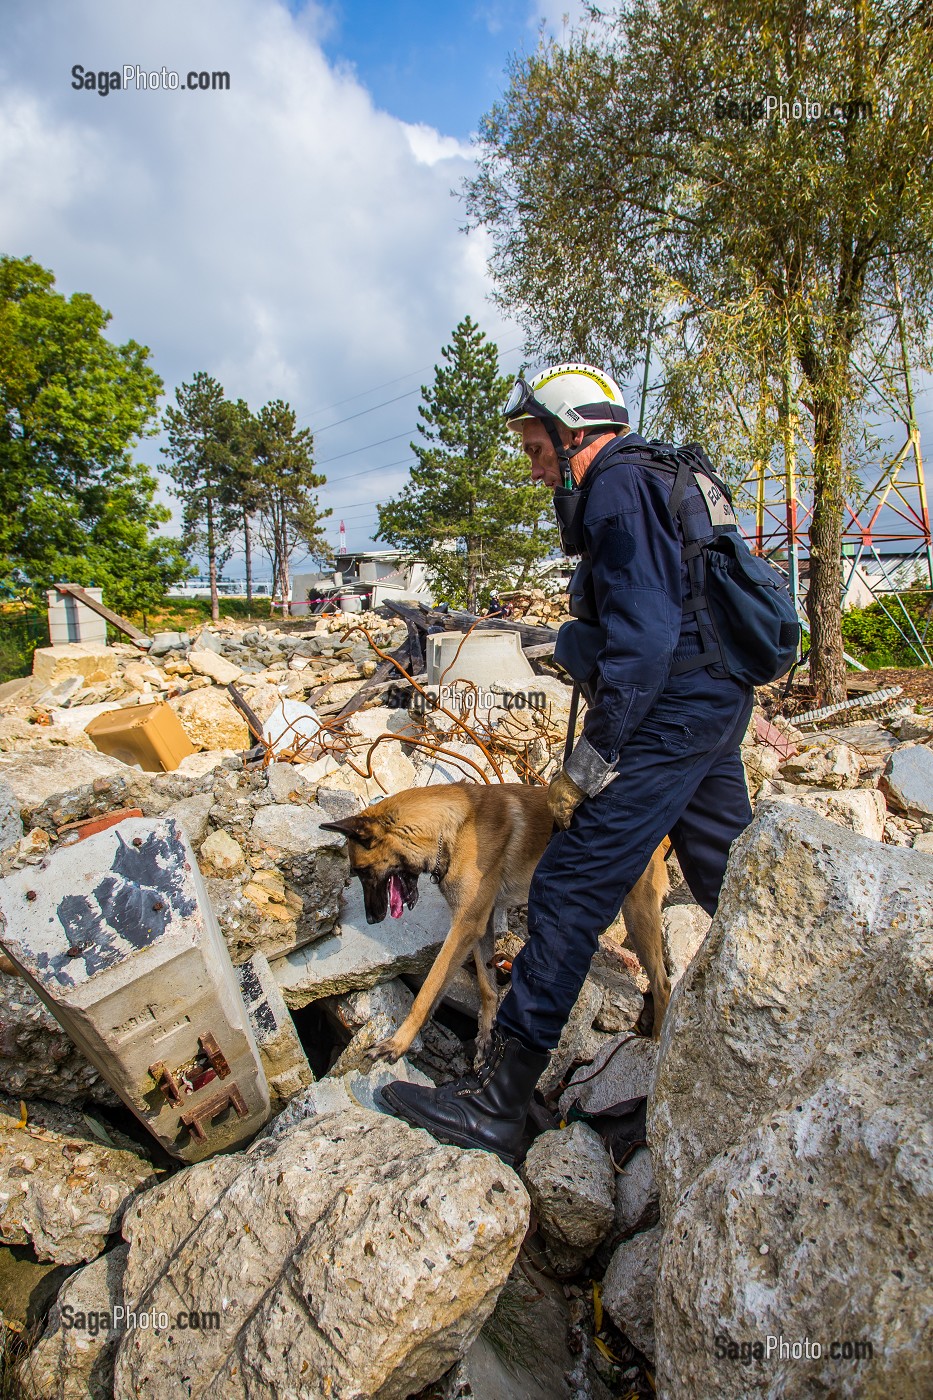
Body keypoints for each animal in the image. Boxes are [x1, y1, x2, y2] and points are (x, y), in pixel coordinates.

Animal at [319, 789, 669, 1058]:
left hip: (638, 918)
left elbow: (428, 991)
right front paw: (487, 1037)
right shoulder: (480, 926)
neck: (452, 827)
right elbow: (487, 987)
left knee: (663, 984)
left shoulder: (465, 925)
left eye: (362, 872)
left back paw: (656, 1043)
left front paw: (397, 1043)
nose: (370, 919)